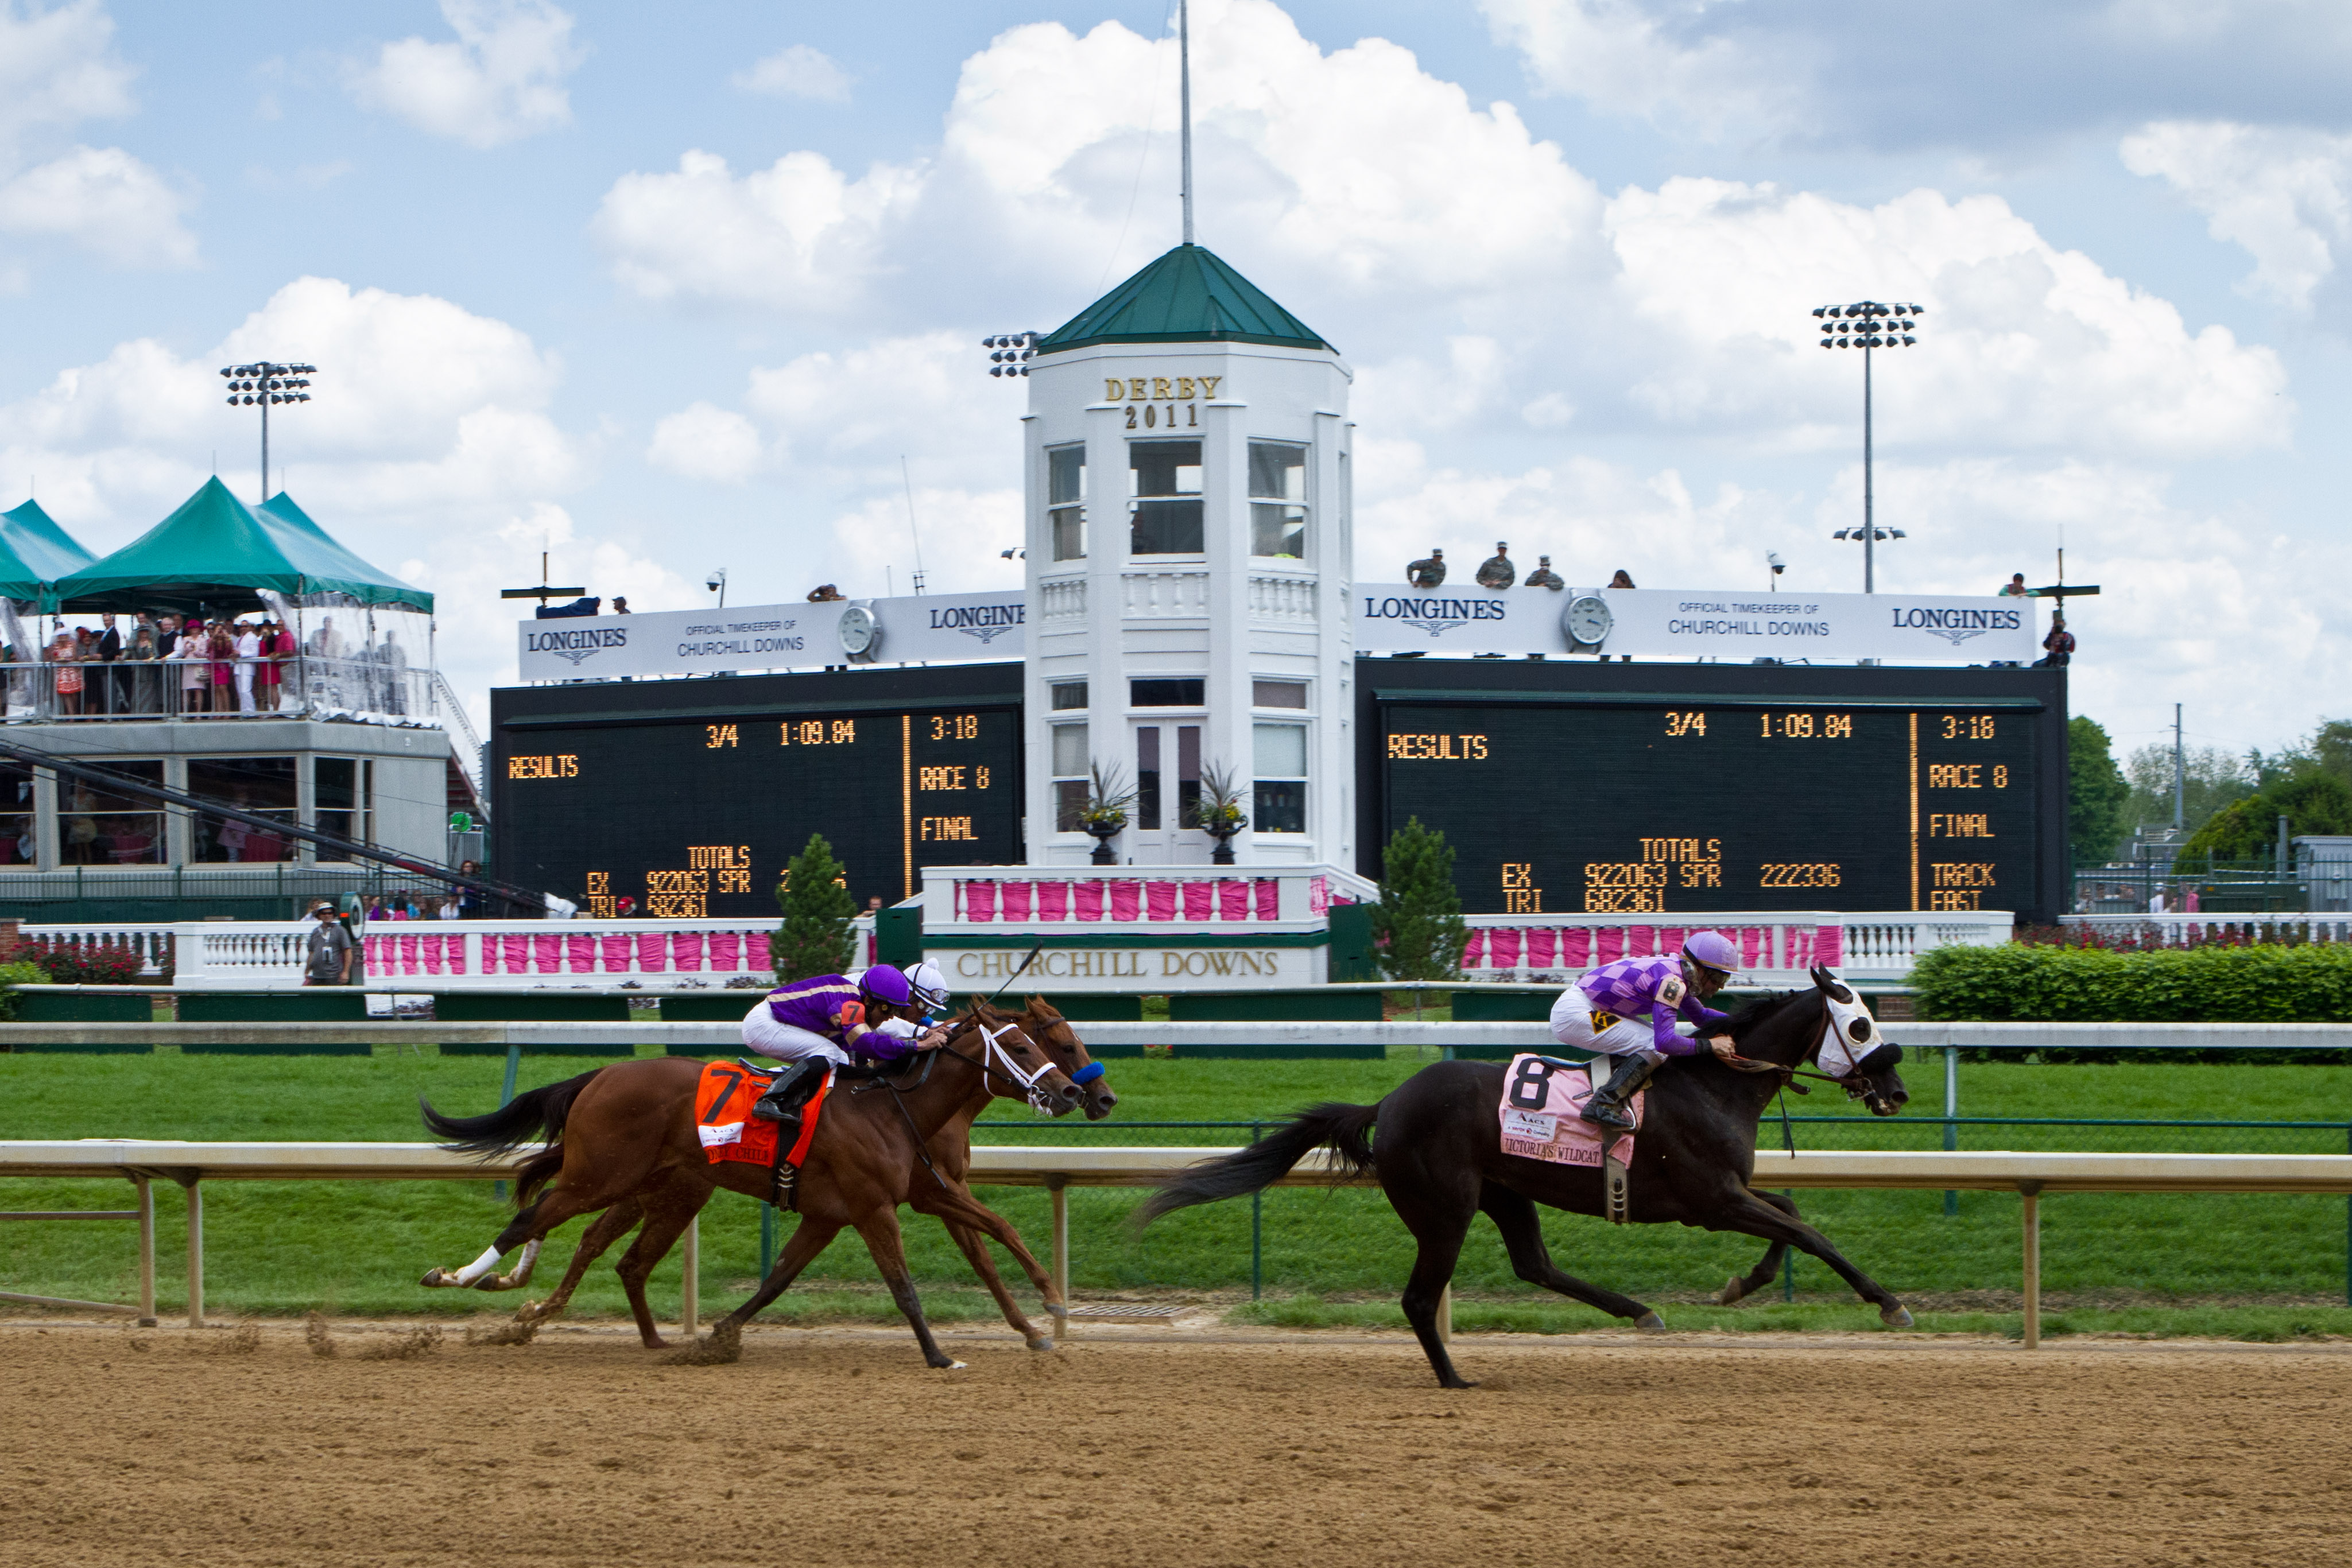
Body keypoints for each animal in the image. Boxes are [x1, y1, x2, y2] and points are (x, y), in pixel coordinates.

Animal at [421, 1011, 1077, 1363]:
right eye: (1022, 1045)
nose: (1074, 1091)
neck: (889, 1106)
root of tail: (601, 1074)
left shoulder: (840, 1211)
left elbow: (778, 1279)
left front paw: (719, 1334)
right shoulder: (874, 1207)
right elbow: (903, 1286)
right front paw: (940, 1355)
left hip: (639, 1183)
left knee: (574, 1228)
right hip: (604, 1175)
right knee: (532, 1218)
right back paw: (459, 1279)